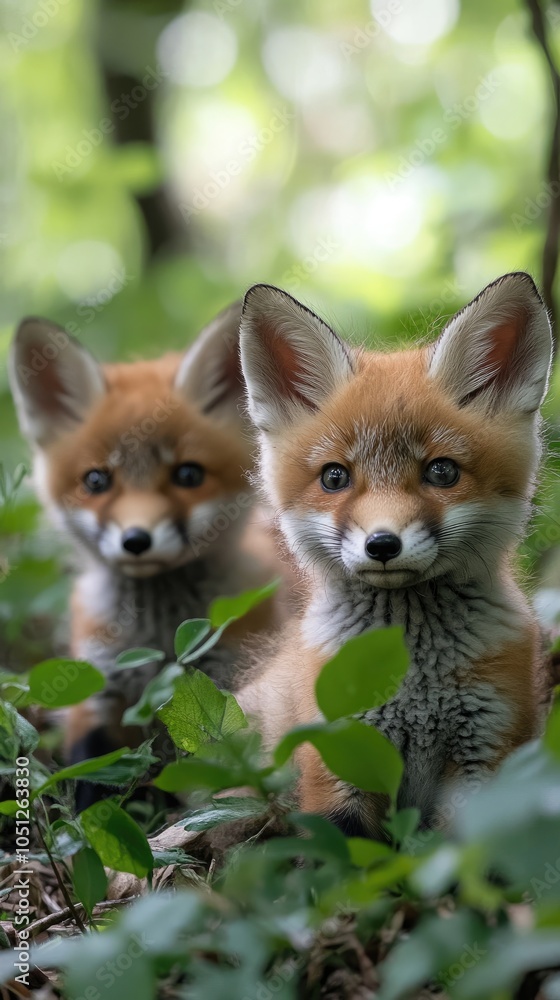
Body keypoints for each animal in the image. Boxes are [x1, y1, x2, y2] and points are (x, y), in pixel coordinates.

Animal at [9, 303, 283, 805]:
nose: (136, 540)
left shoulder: (231, 685)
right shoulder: (97, 691)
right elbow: (92, 785)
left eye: (188, 475)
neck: (158, 635)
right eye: (96, 481)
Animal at [236, 271, 553, 837]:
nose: (382, 544)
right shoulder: (337, 752)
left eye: (442, 472)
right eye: (334, 477)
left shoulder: (488, 750)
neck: (415, 679)